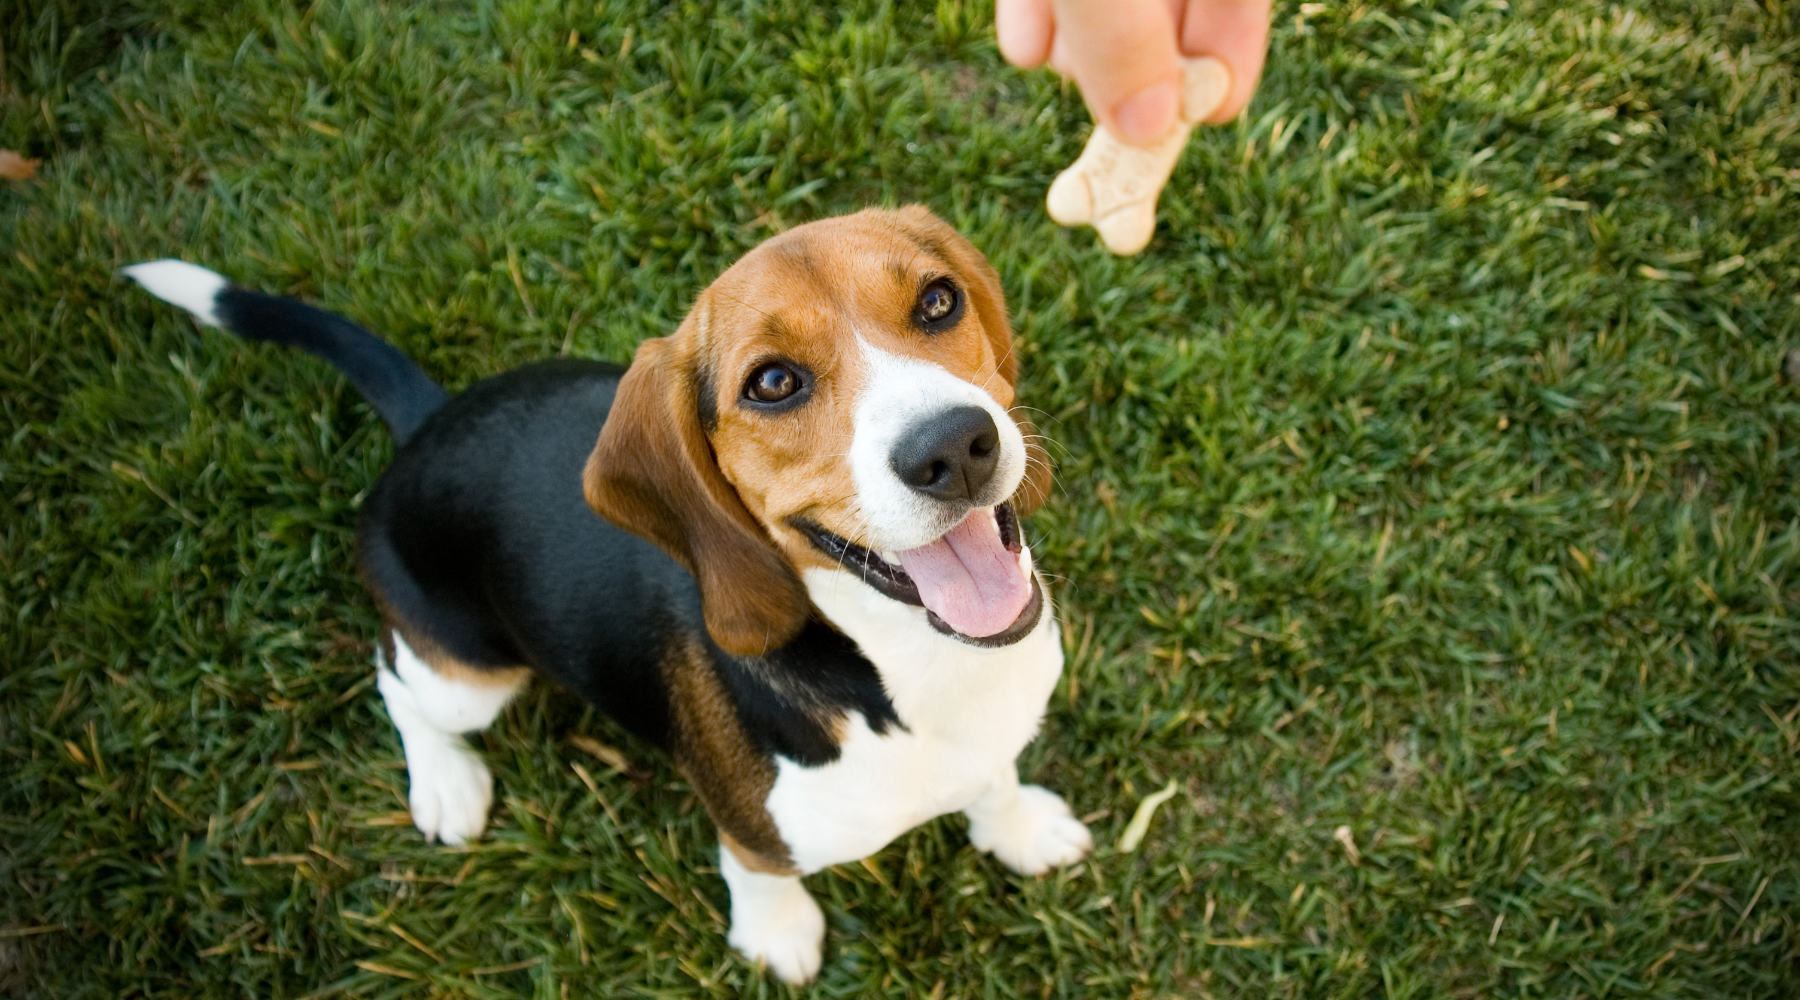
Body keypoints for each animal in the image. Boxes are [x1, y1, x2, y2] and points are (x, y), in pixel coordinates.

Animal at [126, 206, 1087, 978]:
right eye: (774, 383)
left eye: (937, 302)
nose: (953, 445)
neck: (912, 666)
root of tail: (428, 423)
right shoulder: (753, 831)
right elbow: (758, 873)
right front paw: (777, 936)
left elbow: (996, 780)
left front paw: (1018, 828)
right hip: (469, 678)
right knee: (395, 678)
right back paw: (445, 780)